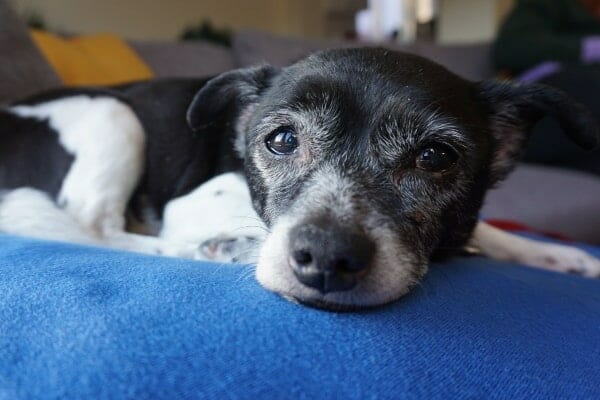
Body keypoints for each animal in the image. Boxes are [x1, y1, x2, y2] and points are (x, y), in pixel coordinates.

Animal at [1, 47, 600, 310]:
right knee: (96, 229)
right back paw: (212, 250)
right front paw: (233, 243)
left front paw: (556, 255)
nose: (328, 260)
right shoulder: (192, 203)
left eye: (435, 156)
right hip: (112, 112)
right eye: (283, 140)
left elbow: (487, 230)